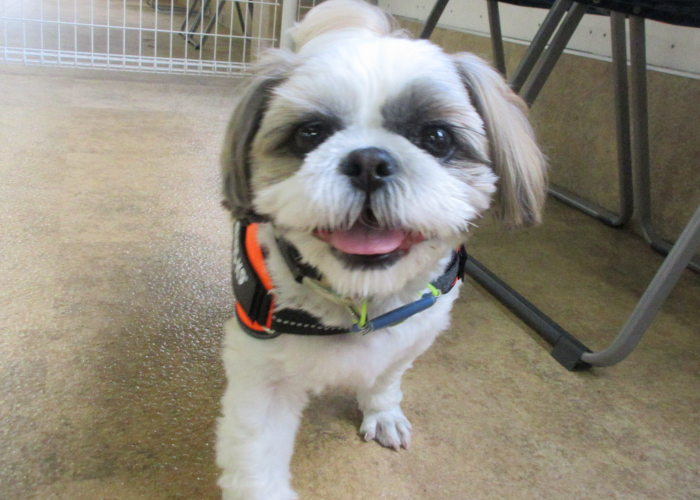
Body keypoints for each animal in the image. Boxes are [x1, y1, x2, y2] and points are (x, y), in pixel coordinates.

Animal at [216, 1, 547, 498]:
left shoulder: (416, 331)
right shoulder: (262, 374)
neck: (362, 301)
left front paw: (381, 411)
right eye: (309, 133)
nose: (369, 161)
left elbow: (387, 377)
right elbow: (257, 466)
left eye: (437, 138)